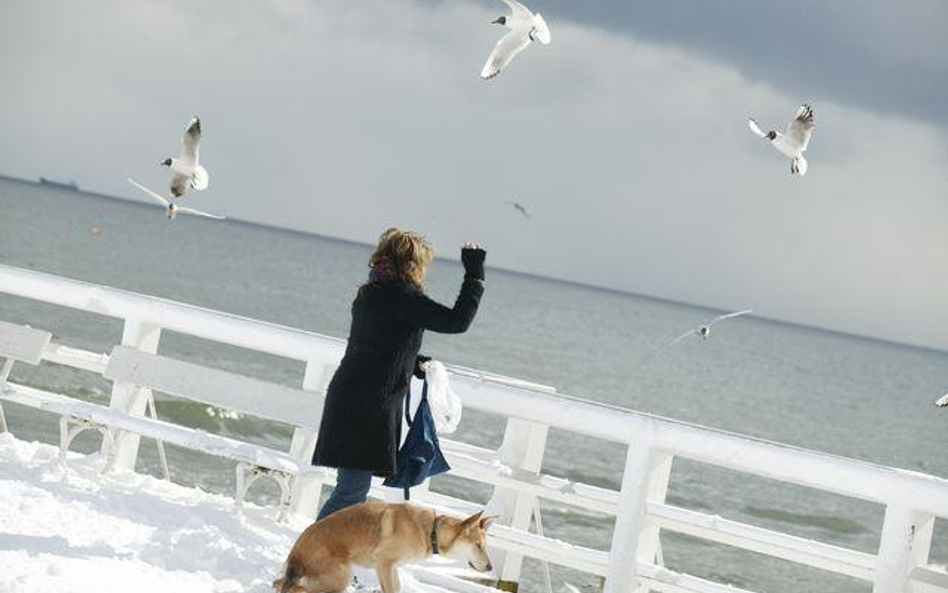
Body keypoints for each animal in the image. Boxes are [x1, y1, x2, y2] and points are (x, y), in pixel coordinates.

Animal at [272, 500, 496, 592]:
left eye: (484, 545)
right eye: (478, 545)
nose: (491, 567)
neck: (430, 531)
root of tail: (296, 554)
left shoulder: (391, 567)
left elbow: (397, 587)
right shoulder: (384, 564)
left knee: (280, 583)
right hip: (341, 576)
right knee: (293, 588)